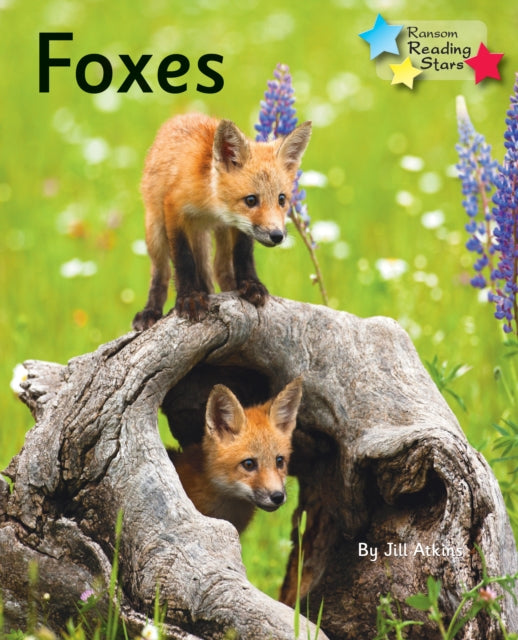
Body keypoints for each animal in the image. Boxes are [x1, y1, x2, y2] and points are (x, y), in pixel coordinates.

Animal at [132, 112, 312, 330]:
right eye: (251, 200)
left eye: (282, 199)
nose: (277, 235)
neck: (211, 205)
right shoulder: (173, 208)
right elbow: (184, 259)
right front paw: (190, 297)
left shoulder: (239, 226)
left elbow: (243, 254)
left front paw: (251, 284)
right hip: (156, 229)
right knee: (161, 272)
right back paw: (151, 310)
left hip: (222, 235)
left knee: (220, 267)